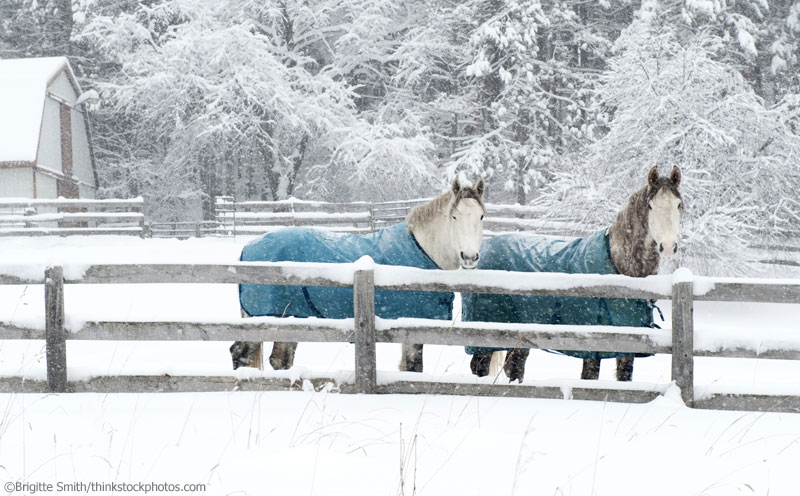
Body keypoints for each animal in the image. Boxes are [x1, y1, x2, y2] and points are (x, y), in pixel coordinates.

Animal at [466, 168, 684, 384]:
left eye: (679, 204)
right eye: (650, 205)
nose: (668, 246)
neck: (618, 266)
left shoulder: (629, 346)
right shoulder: (593, 347)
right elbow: (589, 378)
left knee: (515, 366)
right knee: (480, 367)